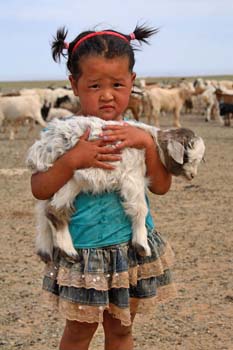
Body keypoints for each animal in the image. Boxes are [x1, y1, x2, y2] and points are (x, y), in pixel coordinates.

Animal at [26, 116, 206, 262]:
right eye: (187, 157)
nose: (193, 176)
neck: (153, 143)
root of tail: (41, 146)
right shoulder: (132, 177)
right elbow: (140, 209)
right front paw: (141, 245)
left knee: (42, 211)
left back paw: (45, 249)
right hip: (73, 175)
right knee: (53, 210)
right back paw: (69, 251)